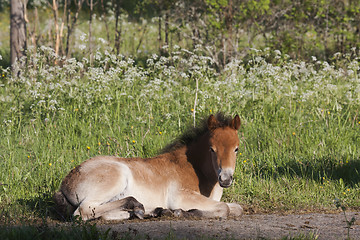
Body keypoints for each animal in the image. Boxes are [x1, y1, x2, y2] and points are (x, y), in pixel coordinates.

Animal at [53, 113, 243, 220]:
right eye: (212, 149)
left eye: (236, 148)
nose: (225, 179)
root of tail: (65, 183)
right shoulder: (181, 196)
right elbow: (224, 208)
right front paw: (180, 212)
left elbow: (236, 208)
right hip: (117, 176)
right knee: (84, 212)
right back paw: (138, 206)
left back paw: (147, 211)